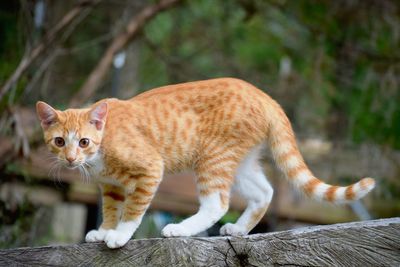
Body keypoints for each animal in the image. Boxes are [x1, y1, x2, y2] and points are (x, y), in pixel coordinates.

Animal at [35, 77, 376, 249]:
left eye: (84, 142)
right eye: (60, 142)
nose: (71, 159)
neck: (103, 144)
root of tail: (264, 95)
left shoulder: (150, 170)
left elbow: (132, 211)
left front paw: (119, 235)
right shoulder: (111, 187)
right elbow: (110, 210)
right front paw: (104, 230)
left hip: (213, 159)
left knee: (217, 203)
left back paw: (180, 229)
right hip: (240, 163)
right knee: (265, 192)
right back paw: (239, 230)